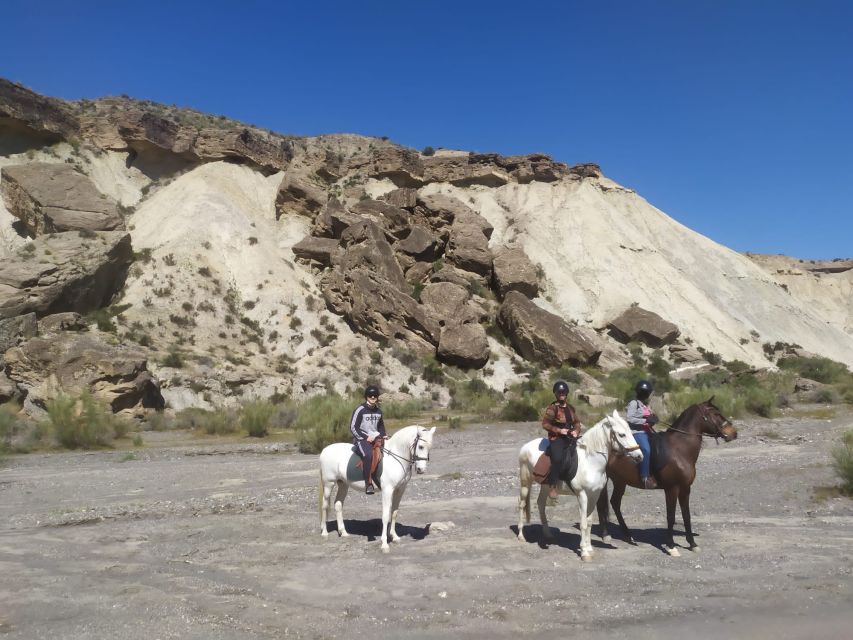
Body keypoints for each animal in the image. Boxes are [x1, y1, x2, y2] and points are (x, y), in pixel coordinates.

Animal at [322, 422, 440, 552]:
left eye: (430, 447)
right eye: (421, 447)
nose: (421, 470)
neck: (395, 457)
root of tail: (324, 450)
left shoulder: (400, 490)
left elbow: (394, 512)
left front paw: (394, 537)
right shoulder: (387, 490)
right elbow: (385, 515)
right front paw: (384, 543)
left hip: (343, 484)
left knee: (338, 505)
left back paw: (343, 533)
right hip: (328, 484)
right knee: (325, 505)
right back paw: (324, 533)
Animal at [516, 410, 644, 560]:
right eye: (621, 434)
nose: (639, 456)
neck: (591, 461)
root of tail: (525, 446)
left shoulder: (594, 495)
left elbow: (589, 523)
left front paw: (589, 548)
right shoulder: (582, 495)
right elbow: (583, 523)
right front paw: (584, 552)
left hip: (546, 486)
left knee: (541, 503)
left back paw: (548, 535)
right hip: (525, 482)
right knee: (522, 504)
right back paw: (521, 536)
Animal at [596, 400, 736, 556]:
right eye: (716, 414)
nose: (733, 433)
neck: (680, 450)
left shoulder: (685, 488)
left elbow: (686, 515)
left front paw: (692, 543)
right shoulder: (672, 489)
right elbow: (671, 516)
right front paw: (671, 546)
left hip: (620, 481)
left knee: (614, 503)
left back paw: (627, 535)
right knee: (601, 505)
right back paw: (606, 535)